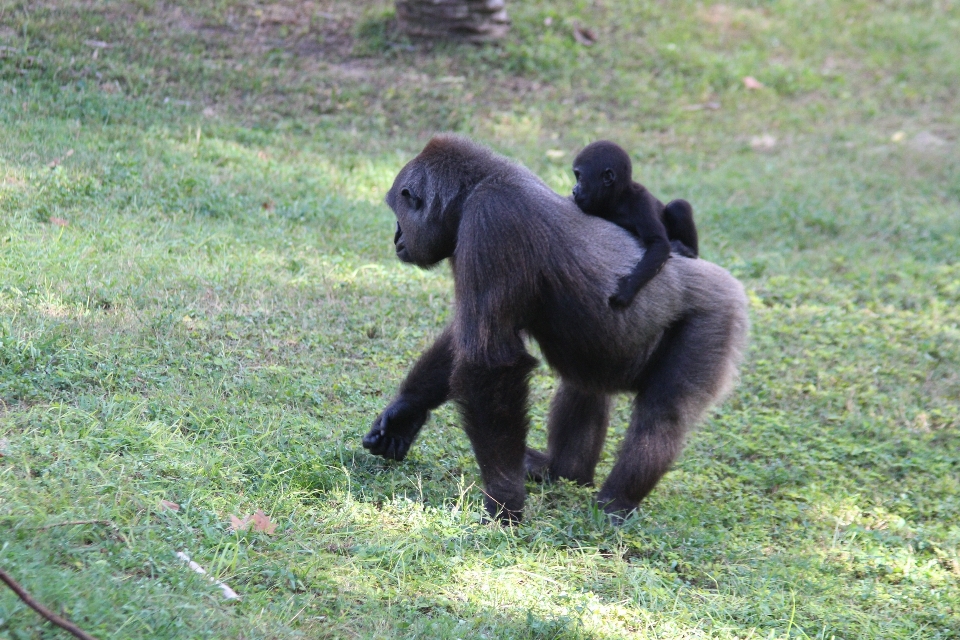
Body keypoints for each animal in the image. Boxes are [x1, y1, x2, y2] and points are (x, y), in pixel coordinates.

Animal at [568, 141, 696, 310]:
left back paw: (689, 250)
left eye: (580, 178)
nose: (574, 190)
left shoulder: (641, 202)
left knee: (678, 206)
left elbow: (658, 243)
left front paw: (627, 288)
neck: (618, 198)